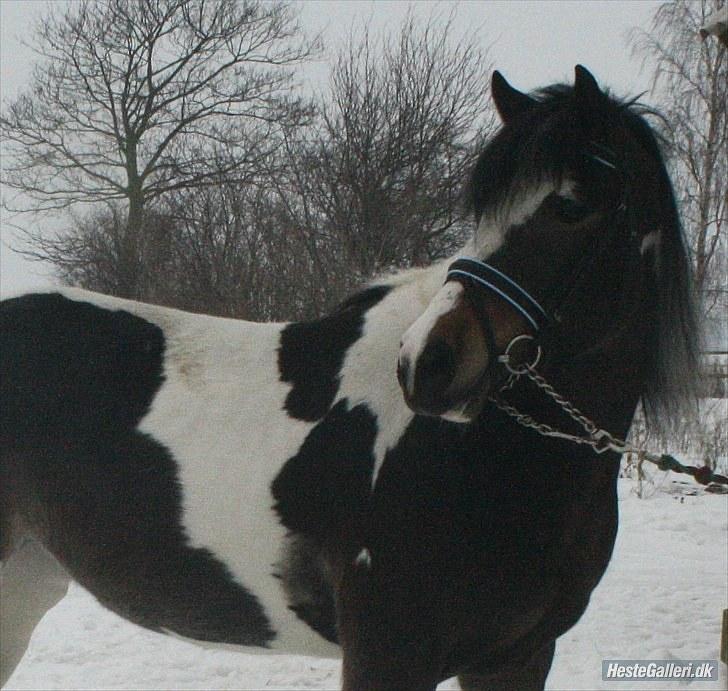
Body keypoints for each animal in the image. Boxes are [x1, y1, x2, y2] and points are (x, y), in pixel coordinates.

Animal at [1, 66, 700, 691]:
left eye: (572, 205)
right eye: (481, 214)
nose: (427, 361)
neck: (482, 458)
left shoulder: (514, 659)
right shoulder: (388, 656)